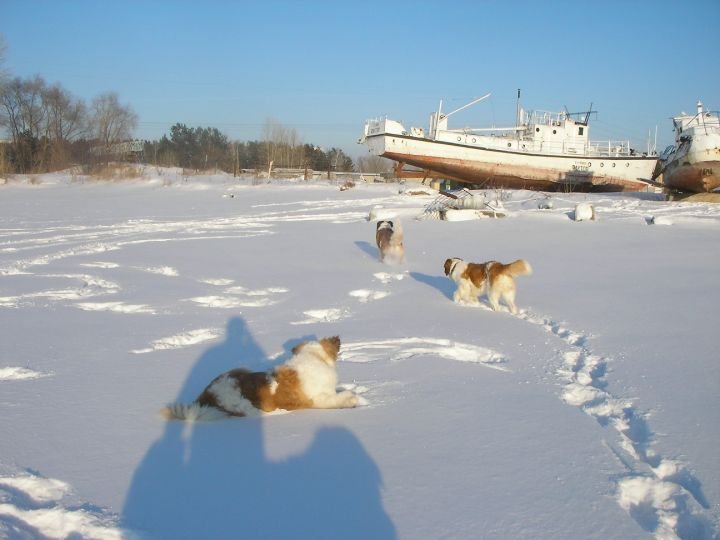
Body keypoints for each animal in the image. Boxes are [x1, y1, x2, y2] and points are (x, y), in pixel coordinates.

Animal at [160, 336, 358, 420]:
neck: (314, 356)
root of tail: (205, 394)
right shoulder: (317, 399)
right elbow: (340, 397)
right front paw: (353, 400)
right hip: (238, 399)